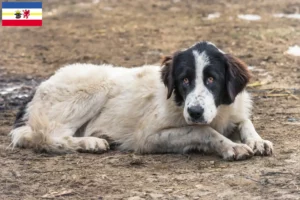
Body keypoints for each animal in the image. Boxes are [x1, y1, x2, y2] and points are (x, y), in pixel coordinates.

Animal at [9, 41, 274, 160]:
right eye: (185, 80)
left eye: (211, 79)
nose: (195, 112)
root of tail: (40, 86)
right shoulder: (147, 137)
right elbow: (203, 131)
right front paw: (231, 146)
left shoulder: (233, 112)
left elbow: (245, 122)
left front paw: (258, 141)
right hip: (96, 86)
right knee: (48, 137)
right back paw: (90, 142)